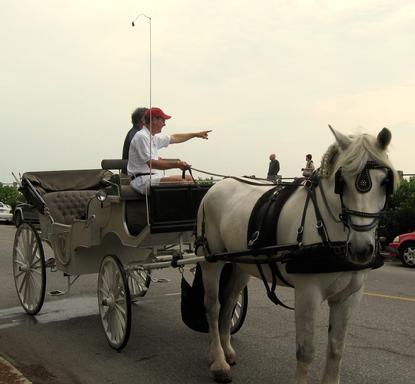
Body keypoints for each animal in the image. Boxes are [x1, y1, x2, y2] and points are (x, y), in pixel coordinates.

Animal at [197, 127, 398, 382]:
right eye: (342, 181)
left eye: (385, 182)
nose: (361, 249)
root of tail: (215, 186)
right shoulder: (307, 293)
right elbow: (305, 351)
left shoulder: (349, 297)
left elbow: (336, 348)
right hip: (211, 260)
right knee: (213, 305)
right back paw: (219, 361)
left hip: (242, 264)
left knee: (230, 300)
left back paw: (226, 350)